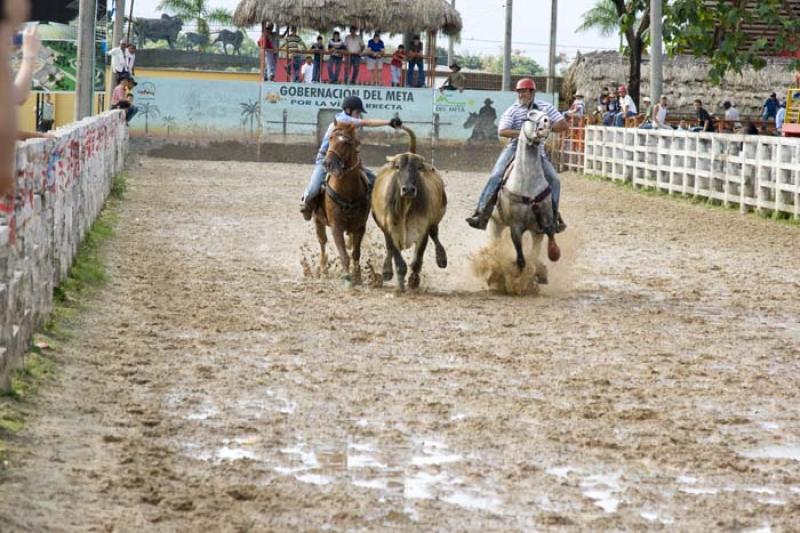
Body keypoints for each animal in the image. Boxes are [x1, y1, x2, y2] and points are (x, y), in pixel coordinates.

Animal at [316, 120, 372, 284]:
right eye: (331, 138)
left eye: (346, 143)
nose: (328, 163)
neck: (348, 192)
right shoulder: (336, 227)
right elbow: (343, 254)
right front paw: (347, 278)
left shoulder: (360, 227)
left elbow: (355, 253)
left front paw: (357, 276)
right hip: (317, 220)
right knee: (322, 242)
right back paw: (323, 269)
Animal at [488, 108, 564, 278]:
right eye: (530, 114)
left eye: (545, 112)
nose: (547, 122)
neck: (528, 182)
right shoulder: (516, 228)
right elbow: (521, 260)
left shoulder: (540, 226)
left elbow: (535, 254)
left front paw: (542, 270)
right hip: (495, 224)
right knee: (495, 247)